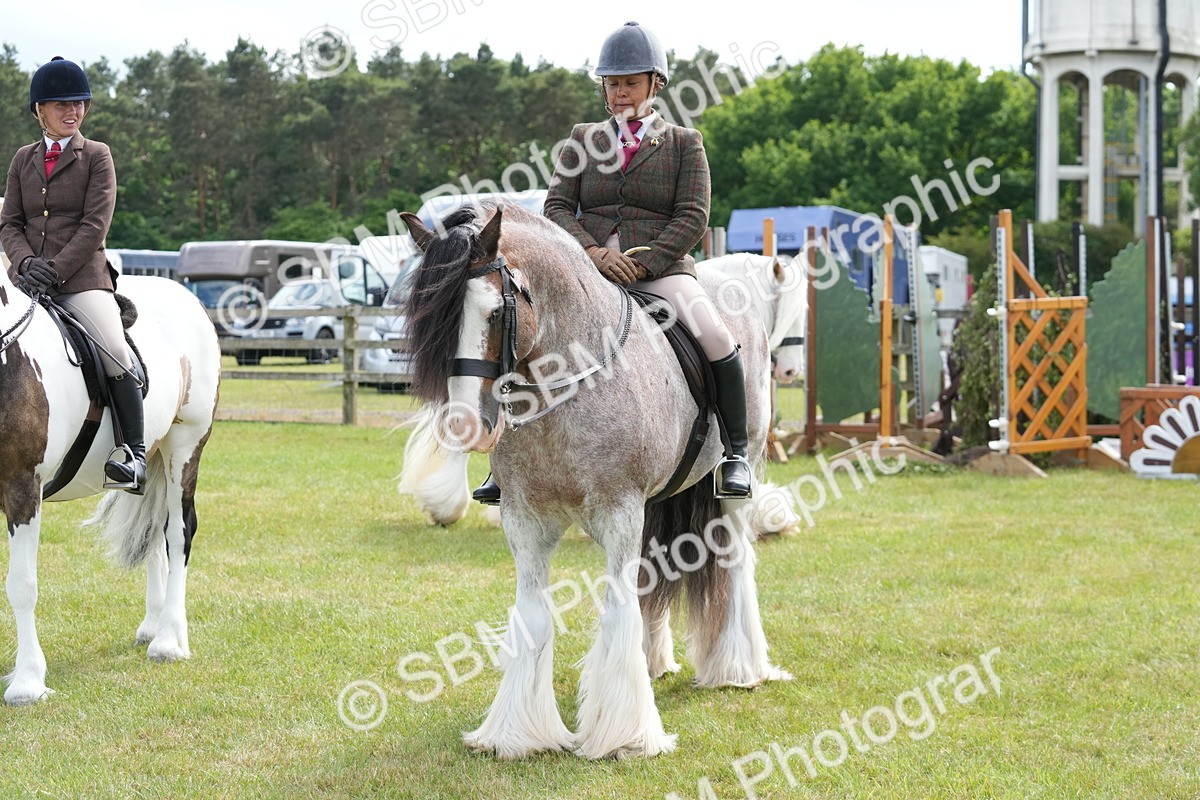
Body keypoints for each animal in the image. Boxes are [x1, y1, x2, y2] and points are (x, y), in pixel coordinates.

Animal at [1, 273, 221, 705]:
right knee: (154, 536)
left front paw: (27, 682)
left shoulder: (22, 487)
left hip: (185, 447)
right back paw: (153, 626)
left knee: (177, 534)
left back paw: (168, 641)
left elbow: (21, 585)